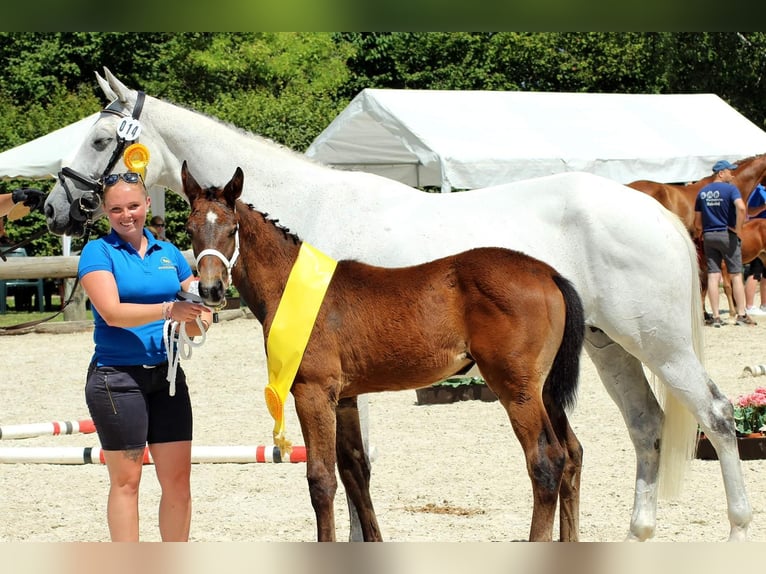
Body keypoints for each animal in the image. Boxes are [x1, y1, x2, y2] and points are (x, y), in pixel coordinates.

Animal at [182, 162, 588, 544]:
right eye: (190, 228)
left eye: (233, 229)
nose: (211, 289)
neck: (295, 287)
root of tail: (549, 273)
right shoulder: (344, 399)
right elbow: (355, 471)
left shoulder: (313, 393)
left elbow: (321, 479)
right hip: (545, 391)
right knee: (572, 454)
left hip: (517, 390)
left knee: (546, 461)